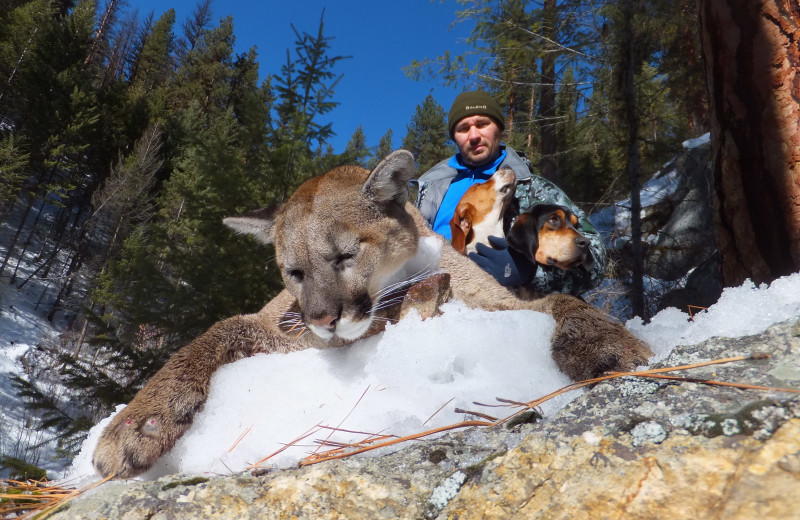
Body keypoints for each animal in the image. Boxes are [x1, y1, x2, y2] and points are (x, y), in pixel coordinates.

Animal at [92, 150, 648, 480]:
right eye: (293, 271)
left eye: (344, 255)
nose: (322, 318)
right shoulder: (280, 326)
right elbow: (214, 331)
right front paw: (139, 422)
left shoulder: (500, 303)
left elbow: (568, 303)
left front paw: (608, 345)